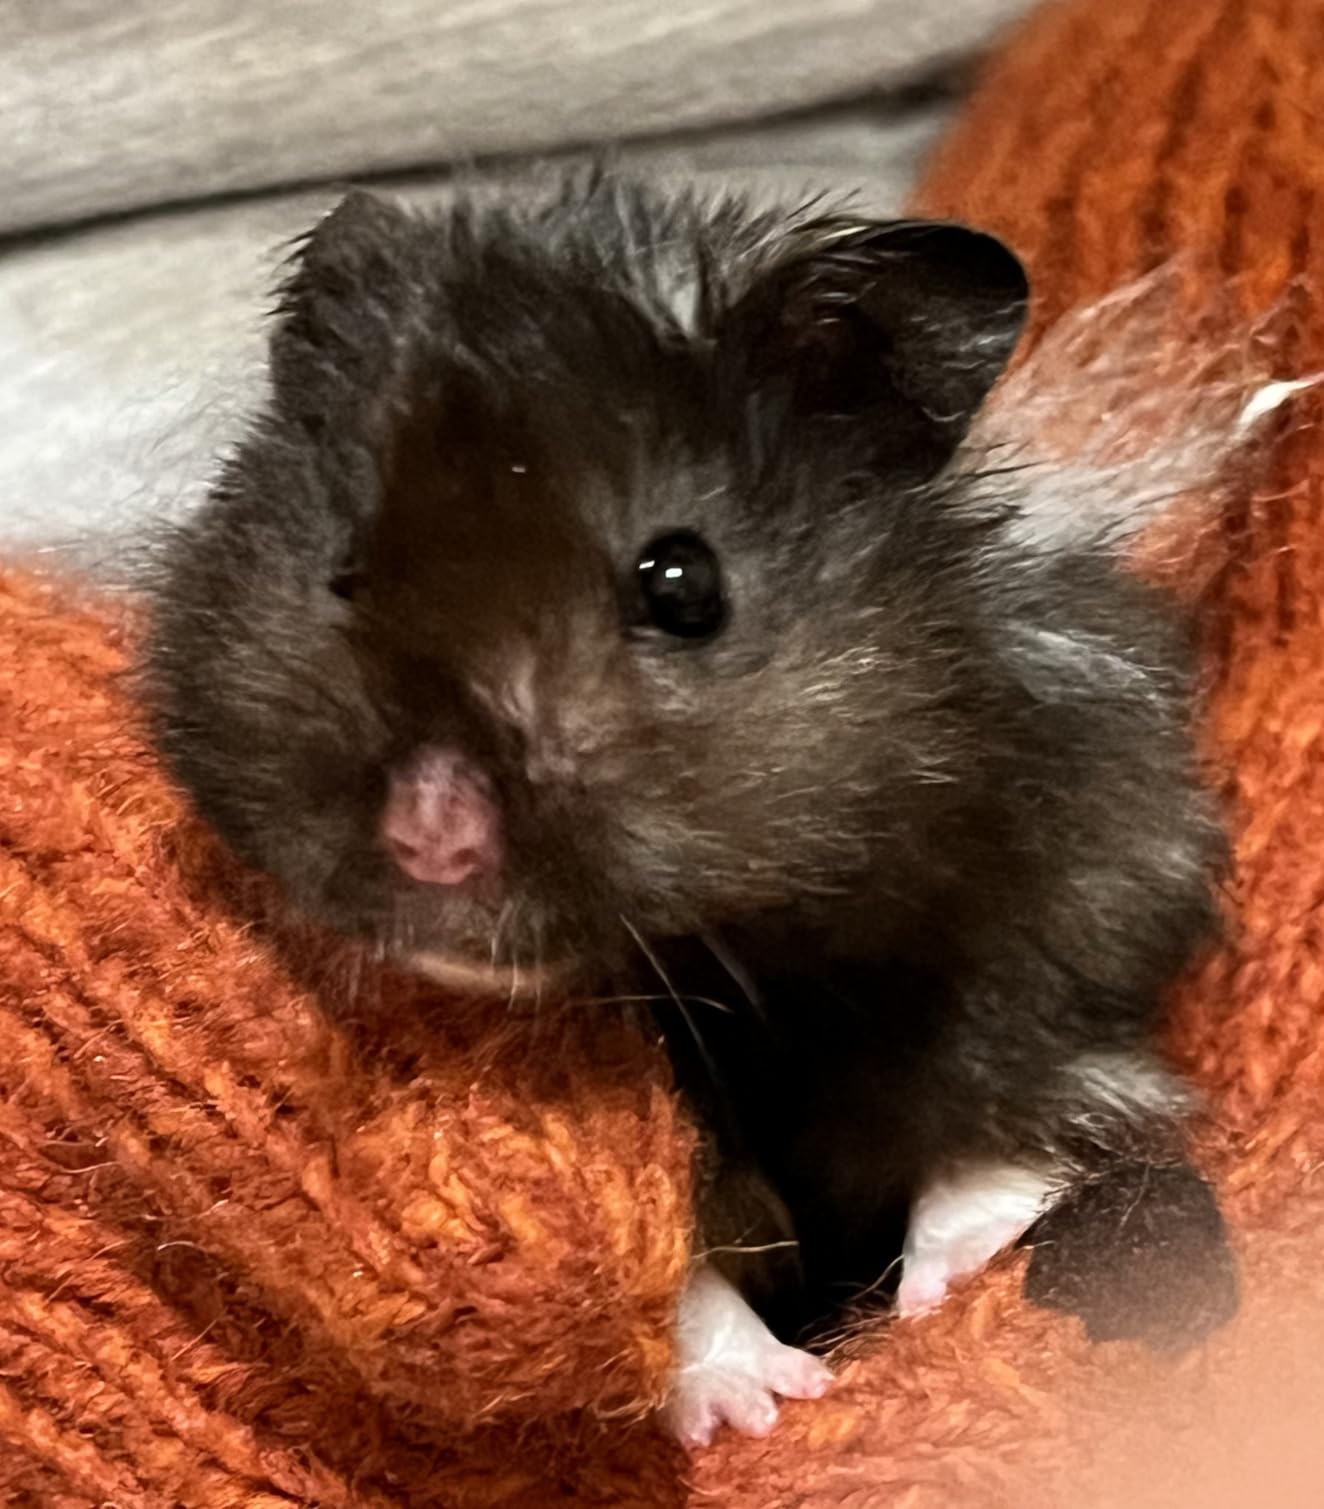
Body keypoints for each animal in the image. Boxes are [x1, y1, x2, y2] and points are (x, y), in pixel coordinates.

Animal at [142, 168, 1227, 1447]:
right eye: (345, 568)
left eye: (683, 582)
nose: (432, 839)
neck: (743, 941)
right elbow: (682, 1267)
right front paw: (761, 1401)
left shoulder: (1073, 890)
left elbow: (995, 1099)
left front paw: (954, 1281)